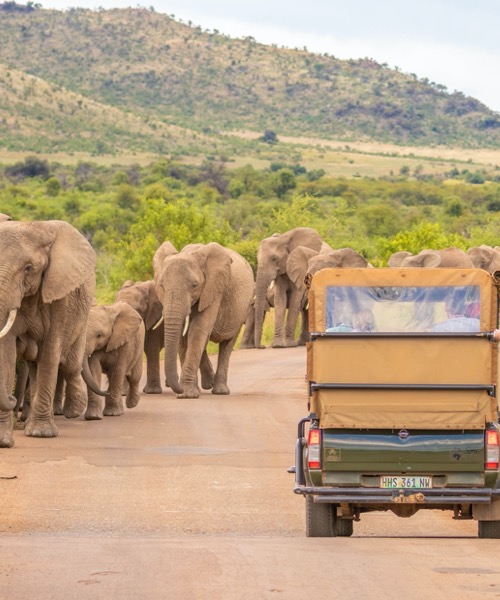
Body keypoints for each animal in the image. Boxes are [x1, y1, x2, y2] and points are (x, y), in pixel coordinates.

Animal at [0, 219, 95, 446]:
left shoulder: (60, 296)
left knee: (70, 365)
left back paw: (75, 409)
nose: (11, 398)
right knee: (36, 366)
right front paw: (4, 442)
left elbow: (51, 351)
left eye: (28, 268)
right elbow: (7, 354)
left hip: (83, 315)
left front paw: (41, 434)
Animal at [152, 239, 254, 398]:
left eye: (195, 286)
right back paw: (208, 384)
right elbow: (183, 336)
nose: (172, 386)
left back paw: (220, 391)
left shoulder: (214, 290)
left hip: (243, 308)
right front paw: (188, 392)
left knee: (227, 344)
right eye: (161, 285)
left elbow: (198, 330)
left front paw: (187, 394)